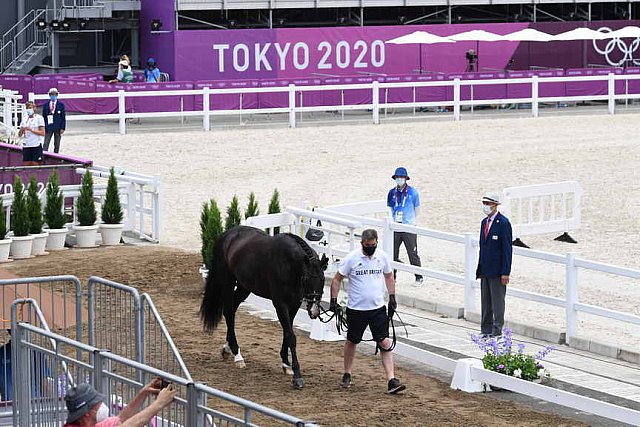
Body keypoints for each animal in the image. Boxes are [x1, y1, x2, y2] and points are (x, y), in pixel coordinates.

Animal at [200, 226, 330, 390]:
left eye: (323, 279)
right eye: (306, 279)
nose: (314, 311)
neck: (288, 264)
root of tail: (229, 234)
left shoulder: (294, 304)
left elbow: (287, 333)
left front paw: (286, 364)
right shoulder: (280, 304)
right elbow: (291, 336)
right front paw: (297, 376)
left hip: (244, 286)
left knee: (232, 310)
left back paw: (228, 348)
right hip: (228, 282)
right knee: (229, 312)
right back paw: (237, 355)